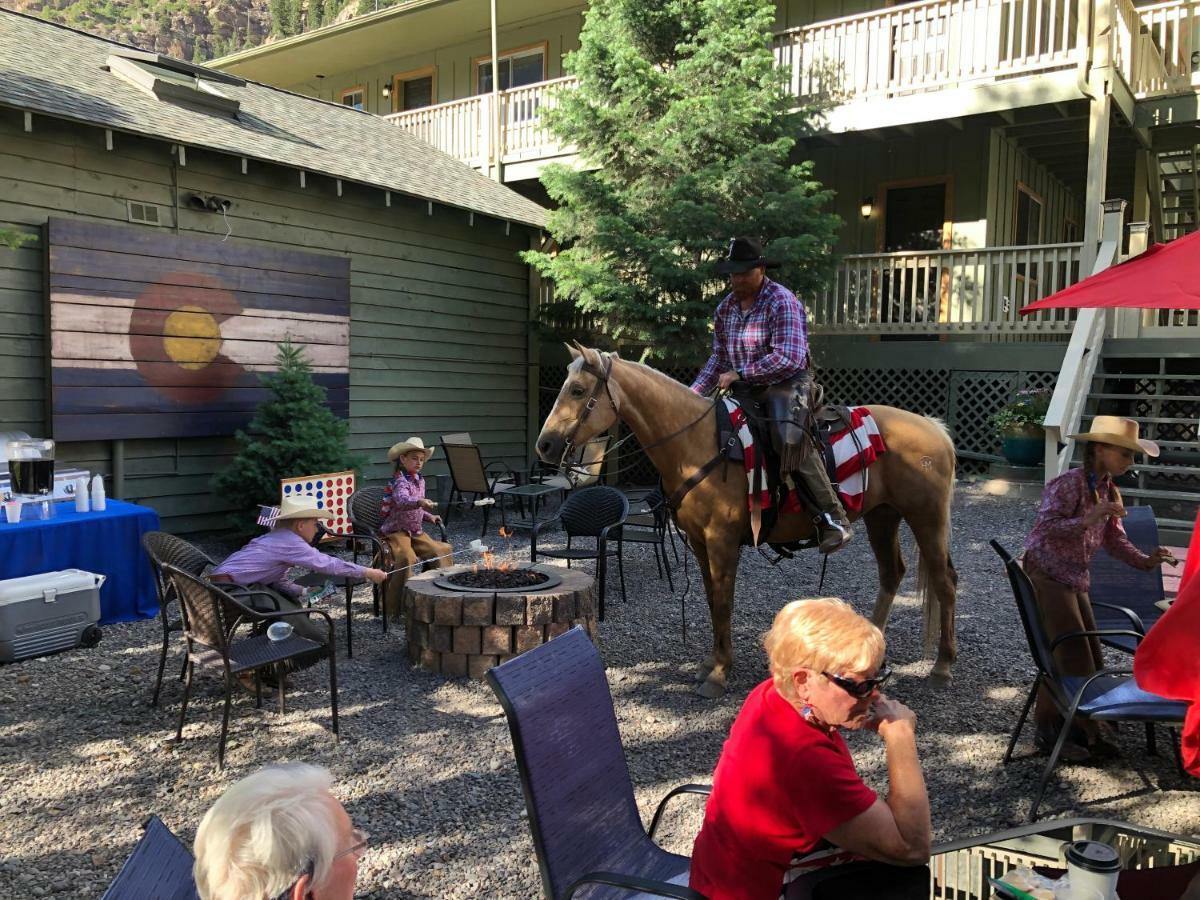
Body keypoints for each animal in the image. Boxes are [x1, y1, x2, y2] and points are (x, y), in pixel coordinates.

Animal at [540, 340, 960, 700]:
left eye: (577, 390)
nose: (544, 445)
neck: (698, 444)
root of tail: (934, 428)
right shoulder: (699, 542)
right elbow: (712, 599)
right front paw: (711, 662)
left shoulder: (722, 541)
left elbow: (724, 601)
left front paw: (719, 674)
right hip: (882, 516)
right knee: (892, 573)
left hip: (927, 518)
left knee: (944, 583)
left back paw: (942, 668)